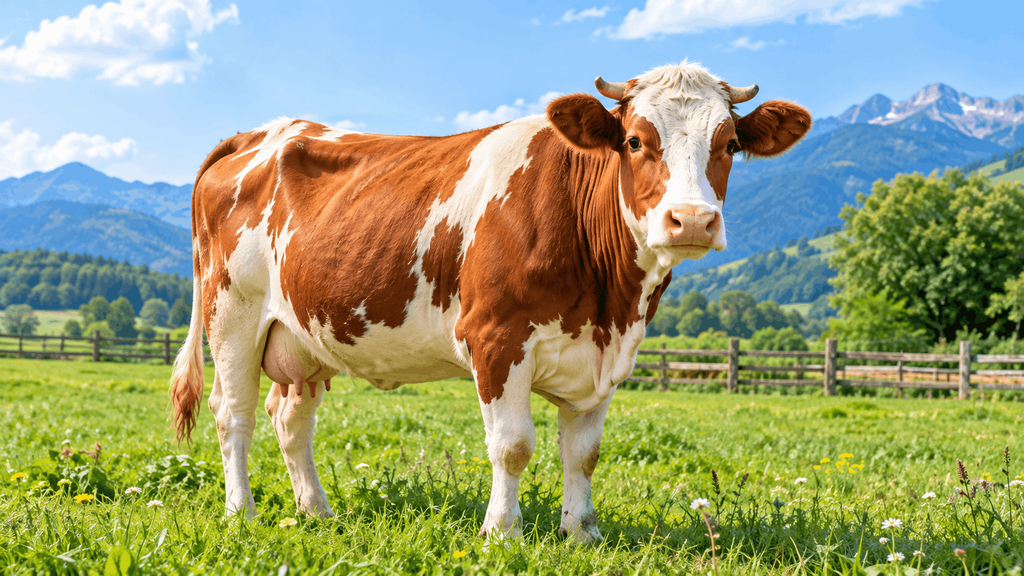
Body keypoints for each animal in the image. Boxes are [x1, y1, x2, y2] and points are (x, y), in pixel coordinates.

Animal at [170, 61, 810, 542]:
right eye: (634, 140)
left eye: (730, 143)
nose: (693, 220)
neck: (609, 302)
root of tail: (265, 132)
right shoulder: (497, 337)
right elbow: (513, 446)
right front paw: (502, 532)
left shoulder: (605, 356)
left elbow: (584, 453)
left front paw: (581, 534)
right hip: (233, 313)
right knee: (234, 415)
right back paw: (242, 513)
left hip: (304, 334)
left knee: (290, 420)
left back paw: (318, 513)